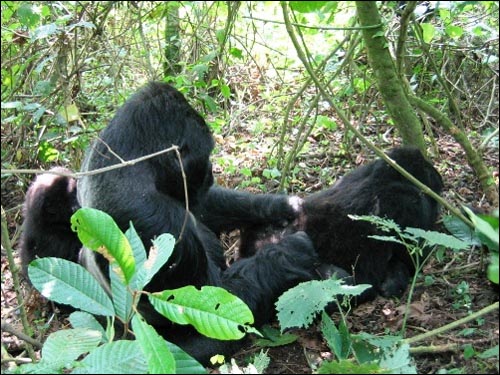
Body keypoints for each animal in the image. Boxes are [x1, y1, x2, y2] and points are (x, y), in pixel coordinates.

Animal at [19, 81, 318, 364]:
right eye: (206, 153)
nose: (211, 172)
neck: (131, 163)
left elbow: (201, 207)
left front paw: (282, 206)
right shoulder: (154, 221)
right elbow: (214, 304)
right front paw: (289, 254)